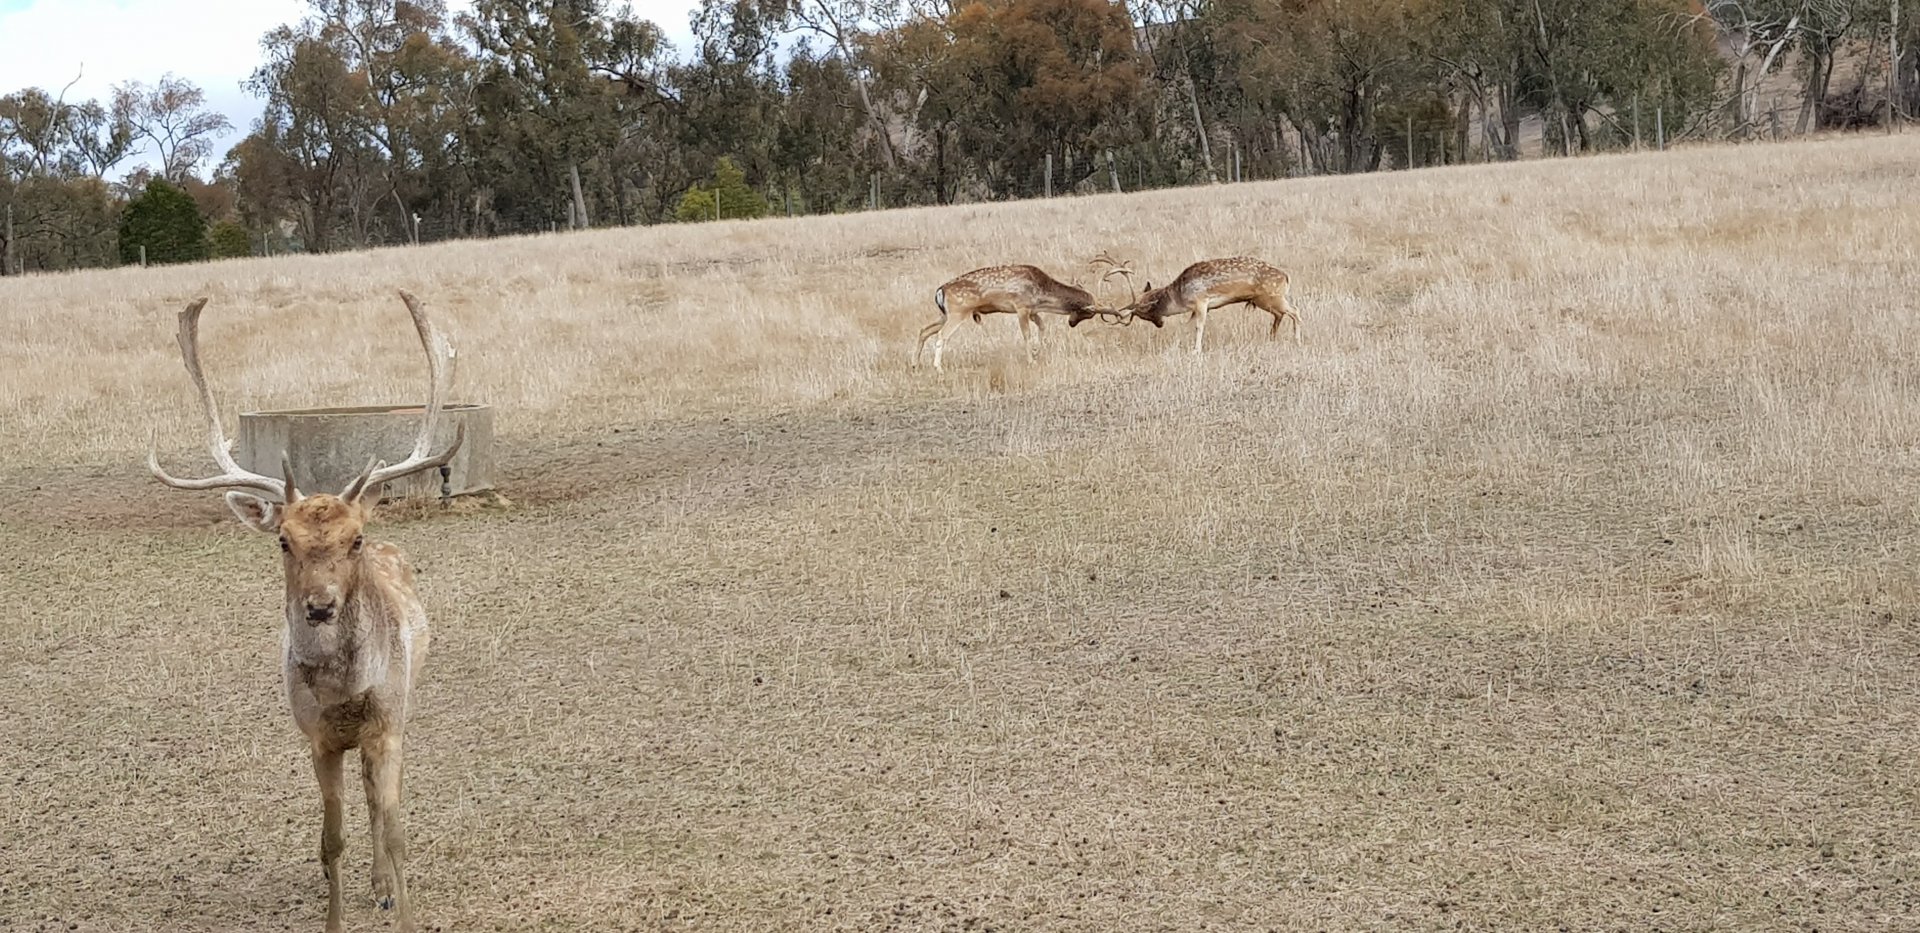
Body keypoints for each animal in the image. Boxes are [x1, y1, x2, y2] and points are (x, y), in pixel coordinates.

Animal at [147, 291, 465, 933]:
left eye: (356, 539)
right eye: (283, 541)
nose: (319, 606)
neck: (345, 692)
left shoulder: (387, 723)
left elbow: (396, 831)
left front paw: (402, 906)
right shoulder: (317, 736)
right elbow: (331, 840)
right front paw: (335, 916)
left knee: (378, 799)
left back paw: (384, 886)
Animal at [1117, 256, 1301, 352]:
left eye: (1145, 313)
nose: (1160, 324)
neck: (1179, 296)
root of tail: (1286, 277)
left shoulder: (1201, 301)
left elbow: (1199, 326)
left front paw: (1196, 351)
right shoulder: (1196, 308)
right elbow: (1188, 325)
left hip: (1272, 296)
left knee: (1295, 311)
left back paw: (1296, 341)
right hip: (1264, 300)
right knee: (1281, 314)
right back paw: (1272, 338)